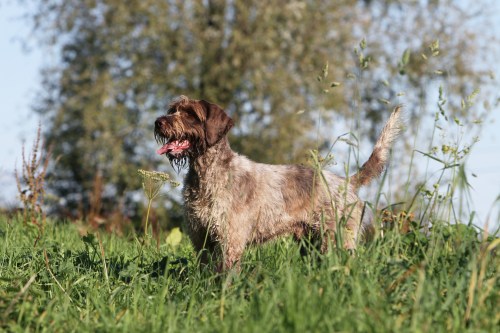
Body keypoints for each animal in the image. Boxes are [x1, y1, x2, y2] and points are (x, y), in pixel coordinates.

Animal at [154, 96, 404, 270]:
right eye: (172, 110)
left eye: (189, 114)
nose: (158, 122)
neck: (206, 174)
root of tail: (347, 182)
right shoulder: (201, 239)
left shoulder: (230, 241)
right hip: (310, 243)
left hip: (336, 241)